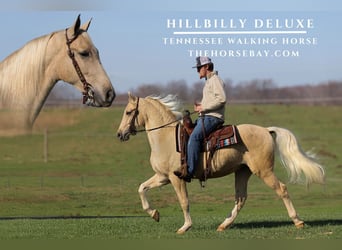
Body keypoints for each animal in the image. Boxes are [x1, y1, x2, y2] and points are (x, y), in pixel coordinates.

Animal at [117, 93, 326, 233]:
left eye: (128, 112)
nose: (120, 134)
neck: (166, 137)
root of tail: (266, 130)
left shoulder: (176, 179)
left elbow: (184, 201)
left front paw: (185, 227)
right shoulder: (163, 177)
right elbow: (141, 188)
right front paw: (155, 214)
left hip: (264, 171)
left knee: (281, 189)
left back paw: (297, 221)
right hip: (242, 172)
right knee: (240, 199)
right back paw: (224, 225)